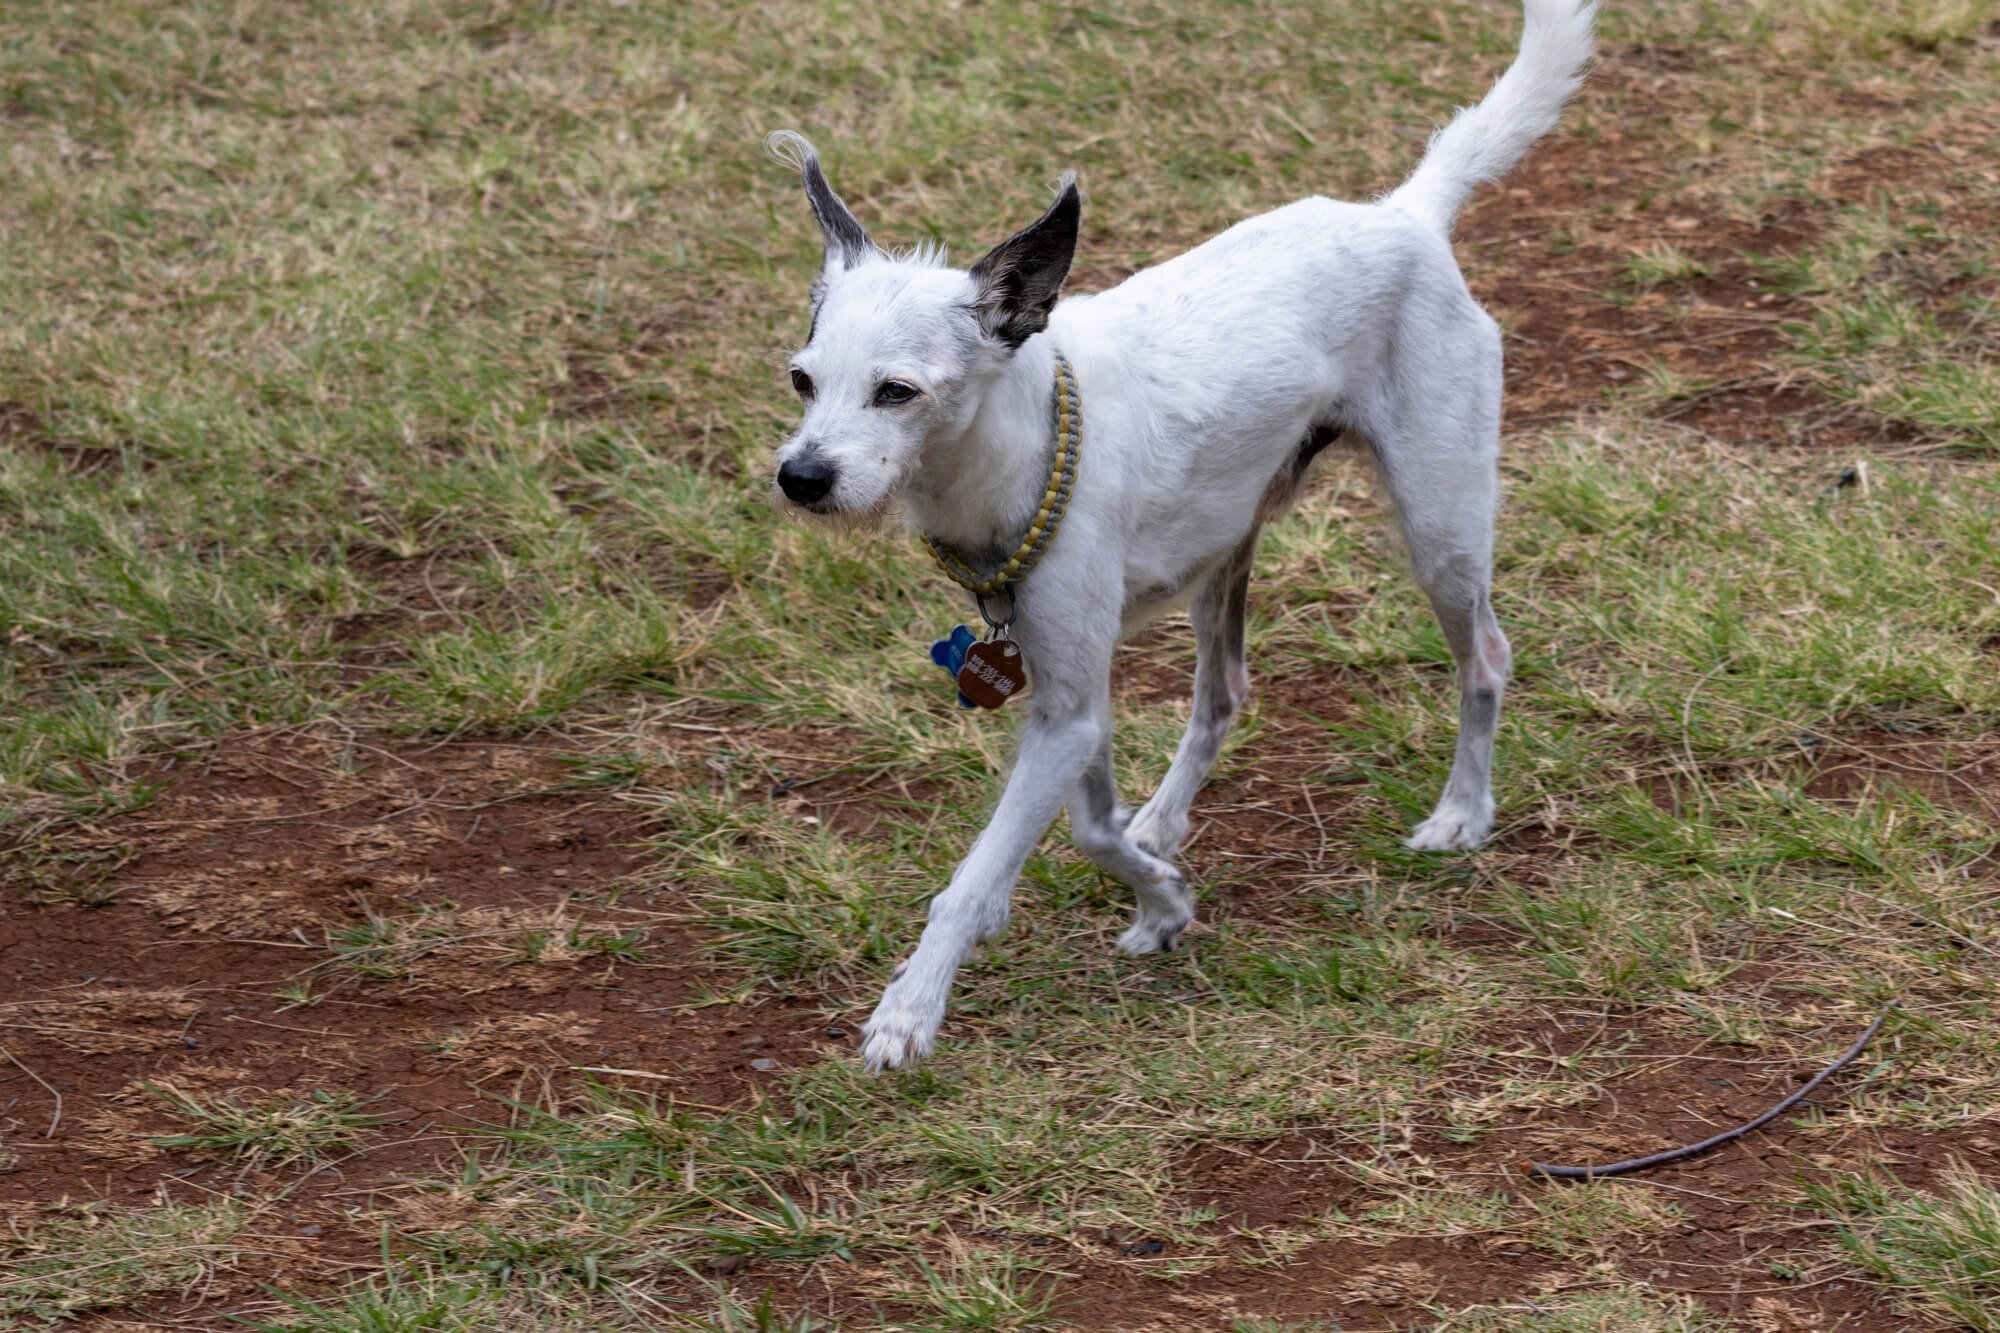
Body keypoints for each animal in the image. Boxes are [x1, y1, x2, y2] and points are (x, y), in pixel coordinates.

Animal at [764, 0, 1592, 1064]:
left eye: (897, 392)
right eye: (803, 379)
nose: (801, 478)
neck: (1016, 452)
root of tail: (1403, 214)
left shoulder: (1066, 712)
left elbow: (993, 870)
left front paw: (912, 1008)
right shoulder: (1067, 693)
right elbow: (1095, 824)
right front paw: (1160, 895)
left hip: (1440, 529)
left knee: (1485, 656)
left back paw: (1461, 813)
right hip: (1222, 557)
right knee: (1226, 691)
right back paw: (1165, 819)